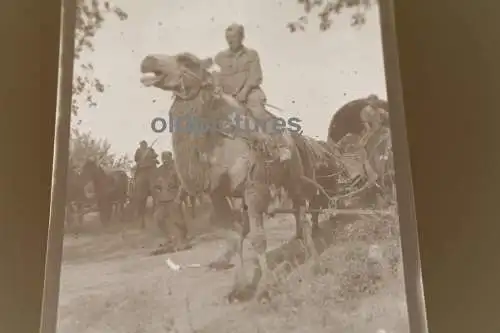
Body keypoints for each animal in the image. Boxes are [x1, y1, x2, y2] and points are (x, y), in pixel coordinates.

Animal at [139, 52, 334, 300]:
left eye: (186, 60)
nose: (148, 60)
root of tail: (296, 139)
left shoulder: (254, 187)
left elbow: (259, 239)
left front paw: (266, 288)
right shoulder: (218, 194)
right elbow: (234, 237)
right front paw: (239, 288)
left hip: (294, 179)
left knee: (304, 216)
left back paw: (317, 264)